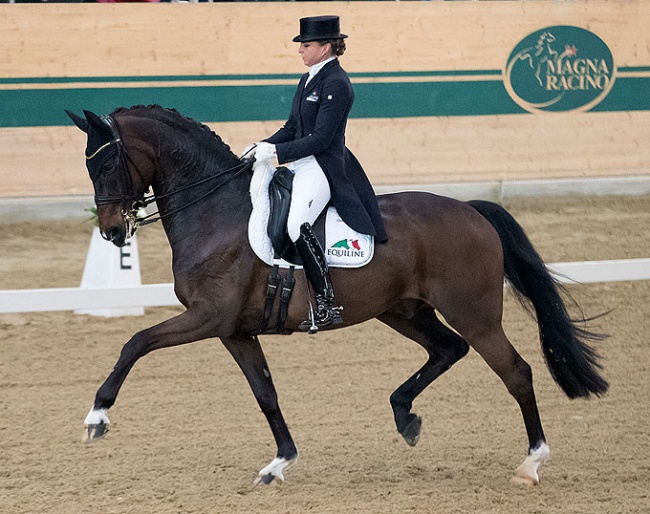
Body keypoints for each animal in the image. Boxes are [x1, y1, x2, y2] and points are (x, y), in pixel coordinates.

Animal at [67, 104, 608, 484]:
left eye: (108, 163)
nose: (112, 232)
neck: (215, 211)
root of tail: (472, 210)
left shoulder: (208, 317)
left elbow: (135, 342)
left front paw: (97, 416)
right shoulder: (234, 330)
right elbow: (265, 393)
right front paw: (280, 463)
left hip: (473, 313)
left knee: (515, 371)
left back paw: (532, 463)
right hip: (402, 310)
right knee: (447, 349)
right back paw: (404, 416)